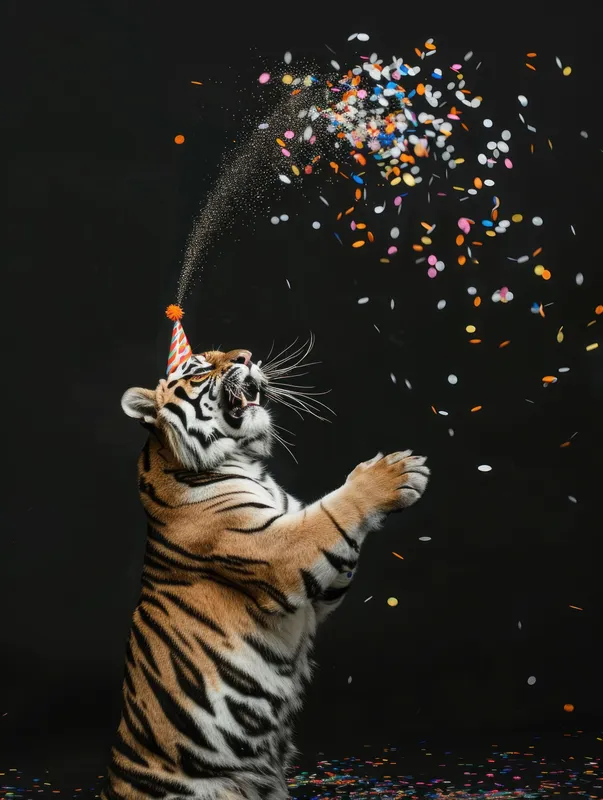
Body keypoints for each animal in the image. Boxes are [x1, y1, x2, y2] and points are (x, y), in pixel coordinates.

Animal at [103, 343, 430, 800]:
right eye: (198, 369)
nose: (246, 356)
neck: (245, 461)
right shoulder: (278, 552)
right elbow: (333, 511)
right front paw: (395, 474)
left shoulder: (319, 583)